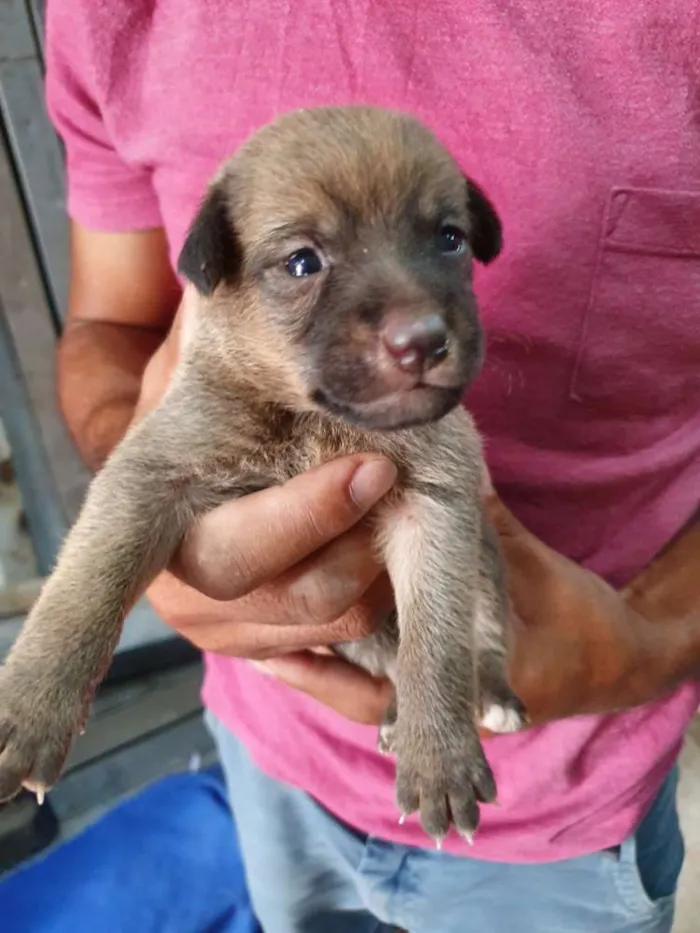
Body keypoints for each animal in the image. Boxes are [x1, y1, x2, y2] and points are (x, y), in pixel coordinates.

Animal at [0, 105, 524, 840]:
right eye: (303, 262)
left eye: (450, 239)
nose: (422, 340)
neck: (309, 421)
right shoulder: (151, 471)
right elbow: (84, 589)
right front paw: (29, 709)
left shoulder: (437, 502)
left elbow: (438, 643)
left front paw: (440, 759)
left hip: (483, 555)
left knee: (479, 637)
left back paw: (485, 696)